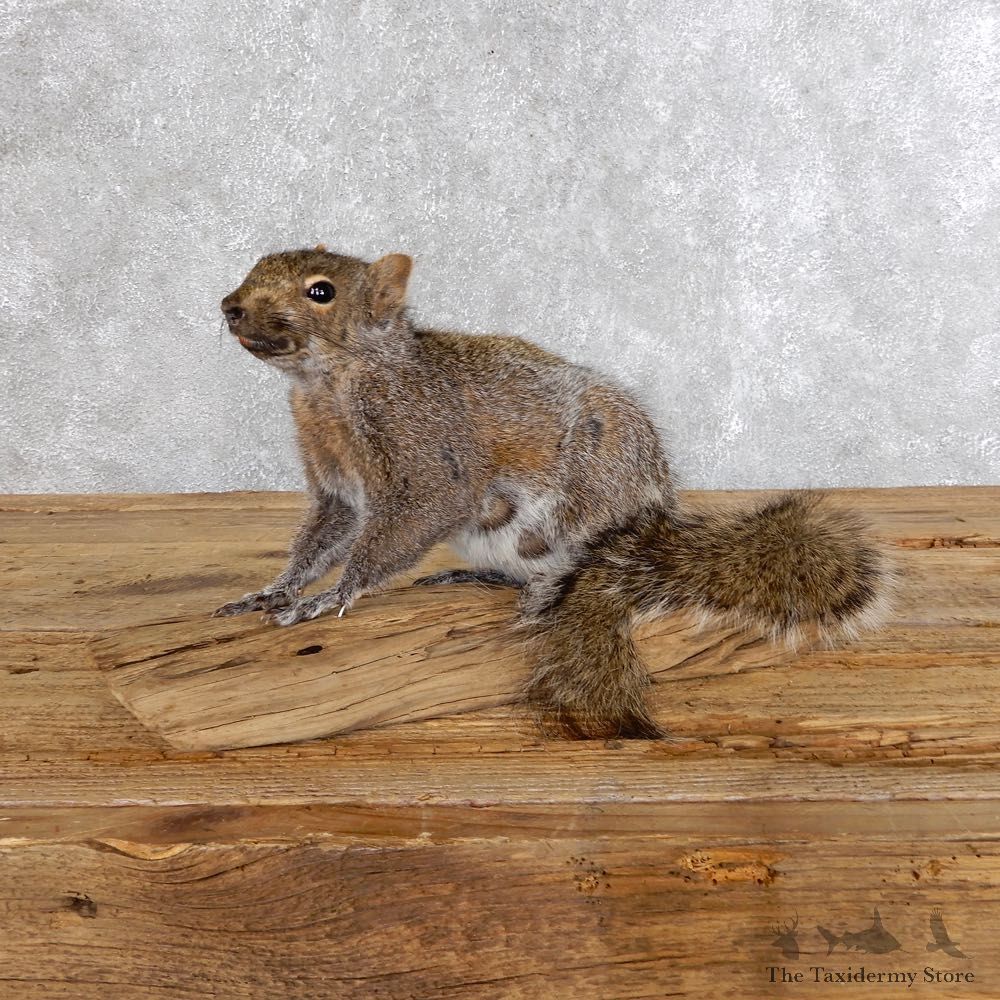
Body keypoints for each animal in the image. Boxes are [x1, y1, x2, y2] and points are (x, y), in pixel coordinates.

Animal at [213, 245, 893, 739]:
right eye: (256, 266)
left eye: (320, 292)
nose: (229, 305)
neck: (330, 385)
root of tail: (650, 521)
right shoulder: (335, 487)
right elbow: (321, 539)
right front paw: (277, 589)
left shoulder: (427, 458)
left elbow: (400, 529)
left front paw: (333, 596)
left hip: (577, 507)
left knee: (573, 563)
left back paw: (545, 593)